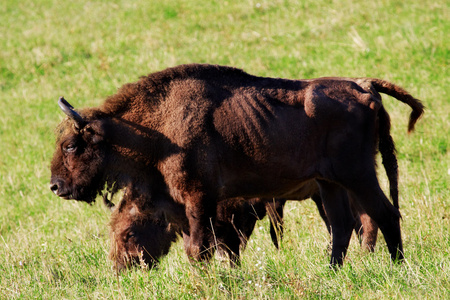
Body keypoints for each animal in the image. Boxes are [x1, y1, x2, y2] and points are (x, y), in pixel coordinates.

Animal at [51, 64, 424, 266]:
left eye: (70, 145)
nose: (55, 186)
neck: (156, 127)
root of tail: (364, 88)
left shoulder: (199, 199)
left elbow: (199, 248)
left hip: (358, 175)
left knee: (383, 214)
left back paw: (396, 267)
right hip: (329, 184)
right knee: (343, 225)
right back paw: (332, 271)